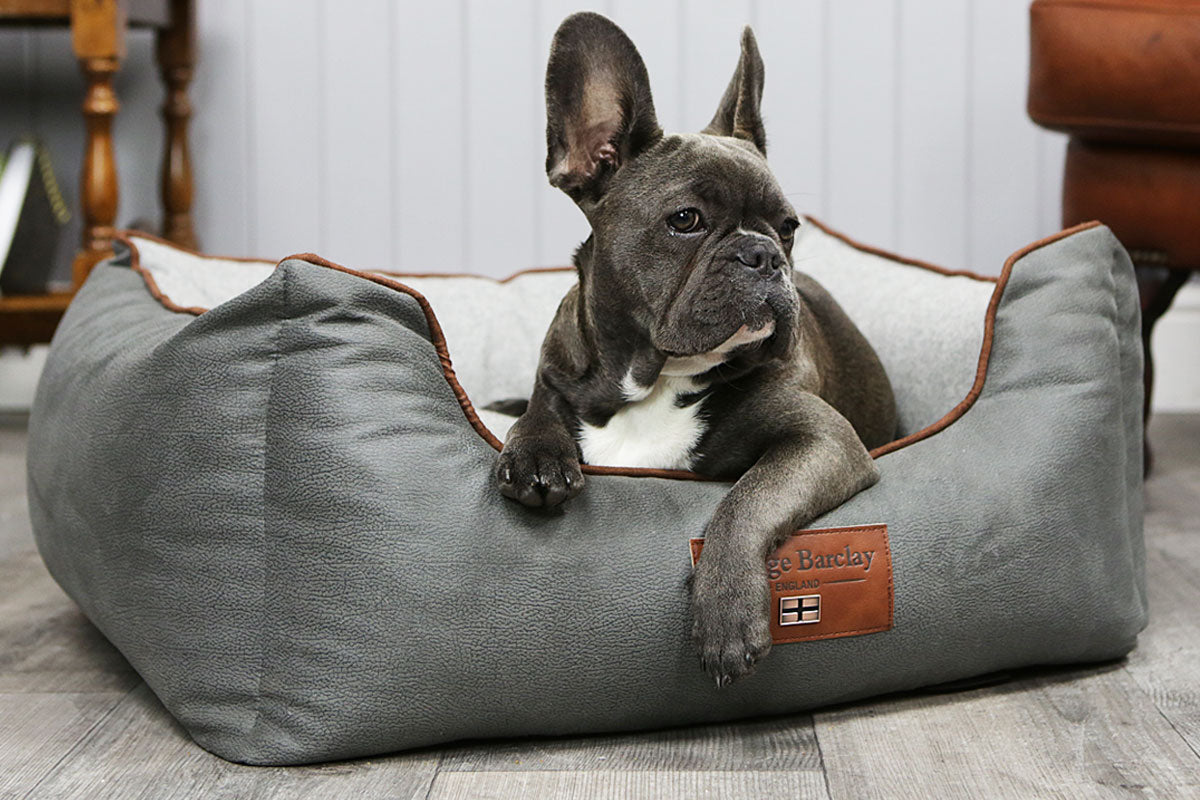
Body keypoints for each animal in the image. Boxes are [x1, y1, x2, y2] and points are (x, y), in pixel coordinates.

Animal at [492, 12, 897, 690]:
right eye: (685, 220)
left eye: (789, 228)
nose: (764, 255)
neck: (654, 378)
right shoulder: (556, 375)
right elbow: (536, 413)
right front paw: (534, 456)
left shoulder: (824, 441)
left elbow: (747, 499)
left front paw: (727, 616)